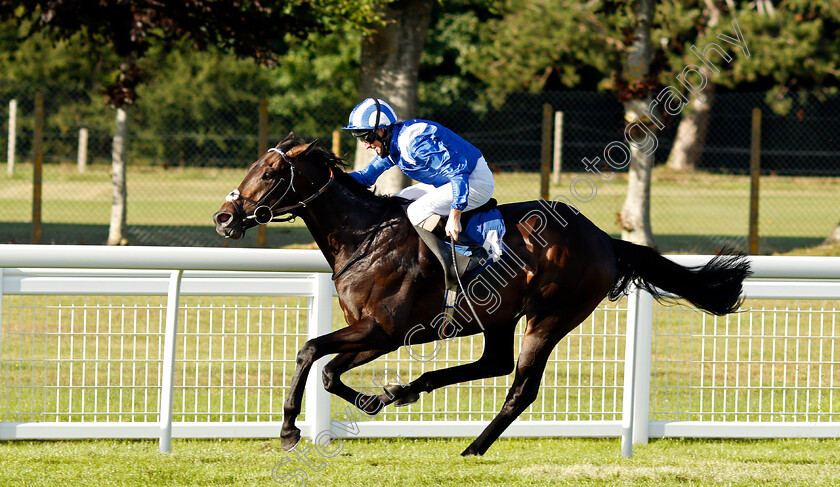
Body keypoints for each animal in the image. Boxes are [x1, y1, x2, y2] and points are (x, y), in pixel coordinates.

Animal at [213, 134, 752, 458]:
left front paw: (289, 430)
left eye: (269, 173)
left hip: (550, 317)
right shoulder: (378, 334)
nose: (224, 217)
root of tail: (605, 239)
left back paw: (473, 446)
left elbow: (309, 352)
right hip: (499, 317)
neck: (365, 237)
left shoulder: (383, 329)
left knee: (520, 387)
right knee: (494, 362)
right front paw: (376, 399)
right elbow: (329, 372)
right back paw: (412, 389)